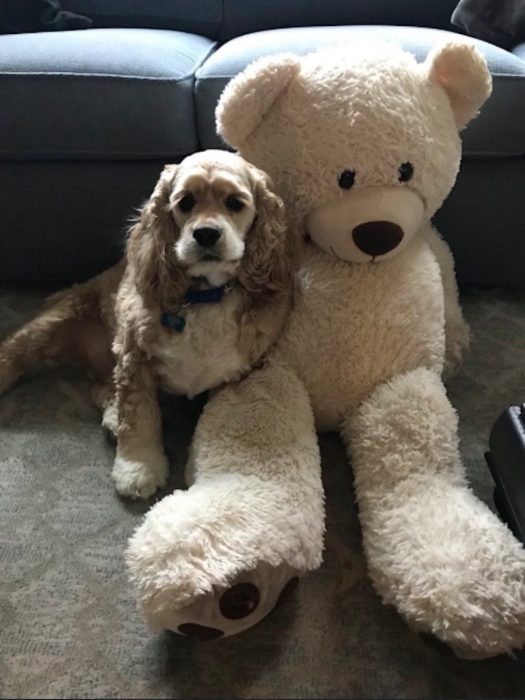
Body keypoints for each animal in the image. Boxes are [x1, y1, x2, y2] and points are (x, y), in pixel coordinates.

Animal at [0, 149, 294, 498]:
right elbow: (139, 416)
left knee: (99, 388)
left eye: (235, 202)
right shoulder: (133, 356)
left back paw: (111, 414)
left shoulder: (235, 372)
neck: (206, 295)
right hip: (54, 325)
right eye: (185, 202)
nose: (206, 233)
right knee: (14, 353)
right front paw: (137, 469)